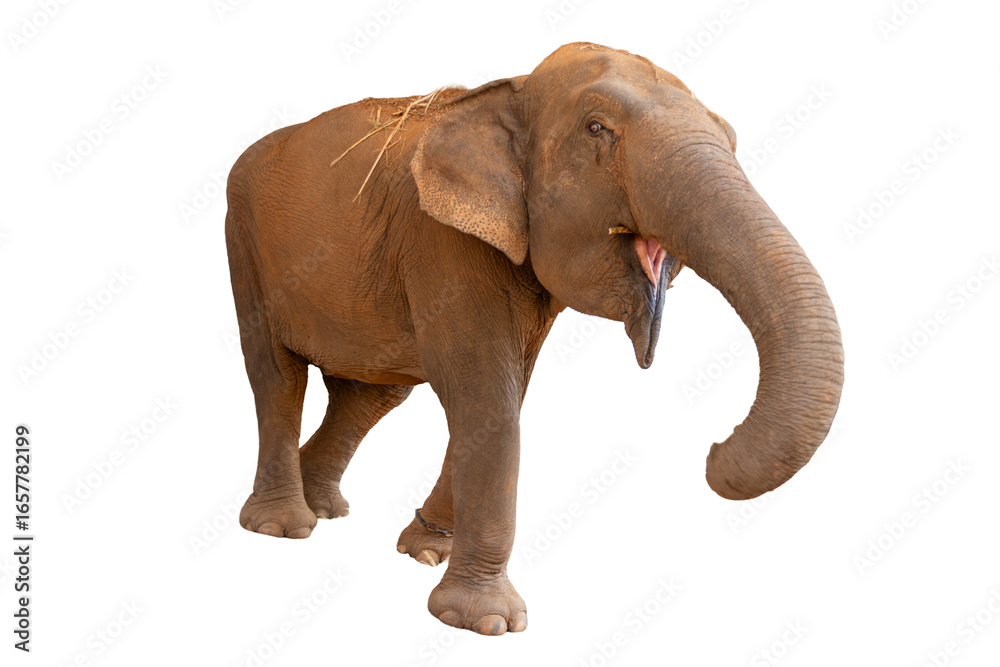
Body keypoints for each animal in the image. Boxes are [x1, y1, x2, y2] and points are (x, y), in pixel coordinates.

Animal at [224, 42, 844, 635]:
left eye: (731, 138)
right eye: (597, 128)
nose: (715, 451)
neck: (512, 88)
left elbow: (505, 392)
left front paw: (426, 552)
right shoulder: (442, 239)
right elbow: (485, 397)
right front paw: (487, 622)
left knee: (372, 393)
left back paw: (325, 507)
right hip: (243, 240)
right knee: (278, 377)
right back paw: (283, 525)